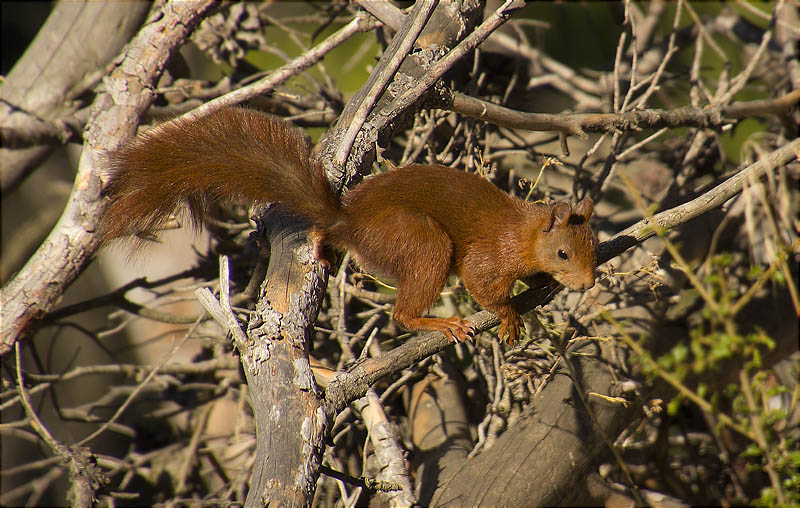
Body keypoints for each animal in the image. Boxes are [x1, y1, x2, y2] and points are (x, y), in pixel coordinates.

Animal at [100, 107, 596, 346]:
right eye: (563, 252)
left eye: (593, 245)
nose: (589, 283)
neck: (525, 232)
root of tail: (350, 221)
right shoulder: (491, 254)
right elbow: (483, 283)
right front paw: (510, 313)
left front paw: (543, 288)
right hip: (421, 242)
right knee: (403, 313)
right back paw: (438, 323)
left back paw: (323, 247)